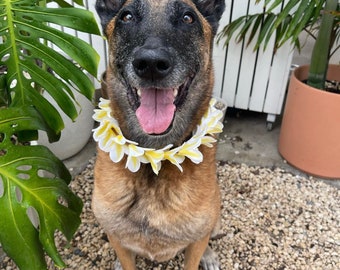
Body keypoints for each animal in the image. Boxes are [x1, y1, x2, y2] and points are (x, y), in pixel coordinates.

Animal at [93, 1, 226, 268]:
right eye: (127, 17)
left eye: (188, 18)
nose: (151, 64)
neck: (153, 157)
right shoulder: (115, 234)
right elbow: (126, 258)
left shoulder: (197, 240)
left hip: (214, 220)